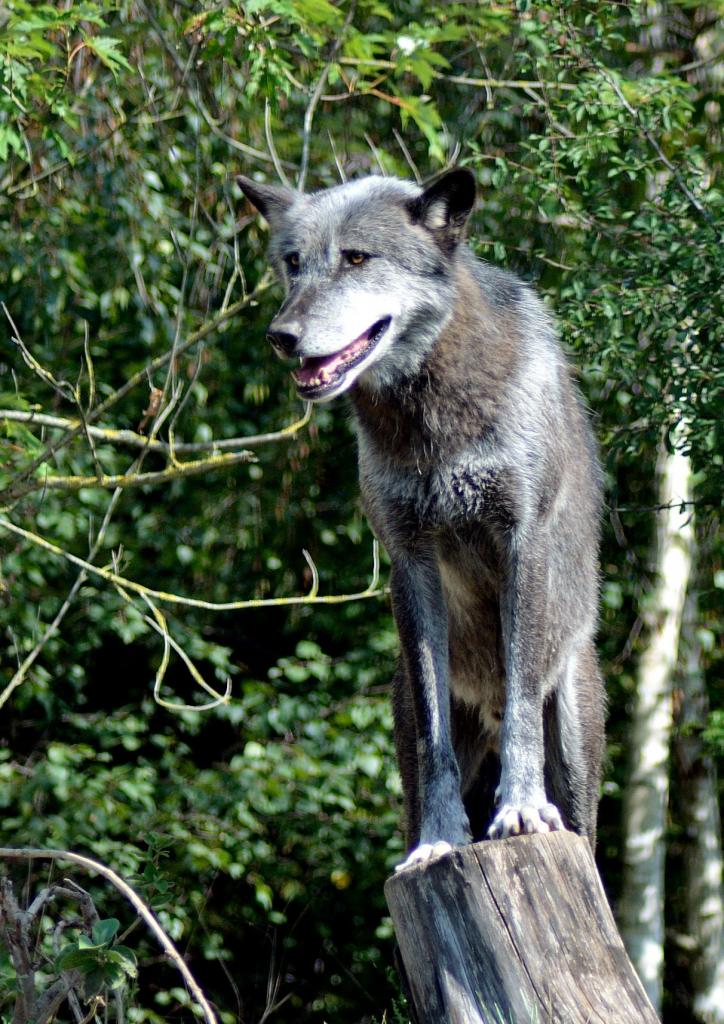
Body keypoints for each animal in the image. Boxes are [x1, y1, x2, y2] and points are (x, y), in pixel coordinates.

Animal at [238, 168, 605, 869]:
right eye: (293, 264)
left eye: (356, 258)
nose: (280, 336)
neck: (432, 423)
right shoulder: (411, 560)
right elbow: (435, 741)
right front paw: (441, 839)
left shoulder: (522, 543)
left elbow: (522, 701)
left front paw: (519, 809)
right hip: (403, 715)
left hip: (575, 738)